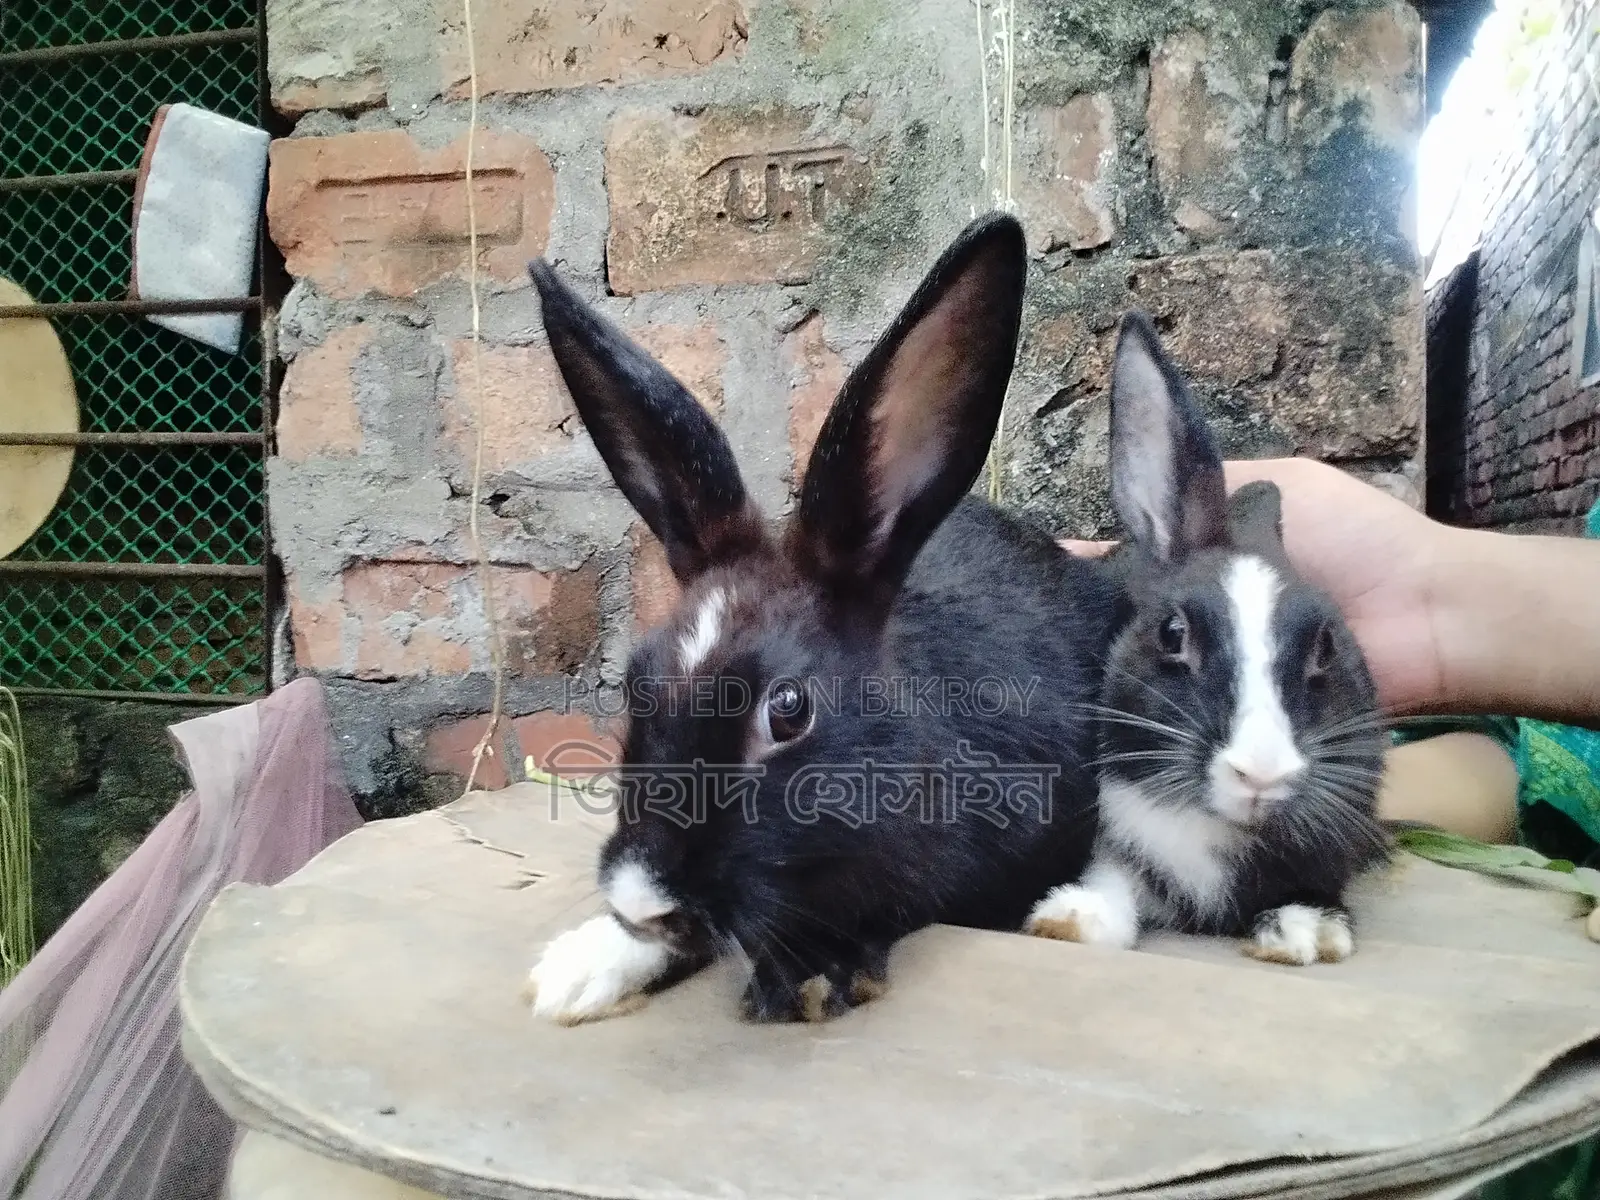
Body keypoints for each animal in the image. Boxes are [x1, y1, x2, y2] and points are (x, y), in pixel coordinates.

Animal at [1024, 310, 1390, 967]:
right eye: (1173, 635)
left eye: (1326, 646)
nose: (1261, 775)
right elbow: (1113, 880)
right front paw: (1072, 920)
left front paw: (1306, 930)